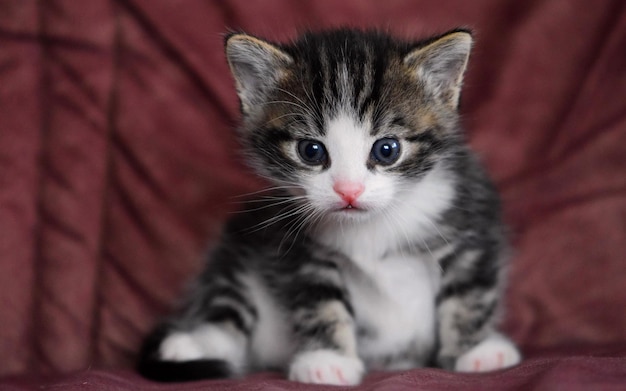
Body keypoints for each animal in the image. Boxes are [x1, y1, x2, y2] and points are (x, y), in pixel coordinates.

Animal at [138, 28, 520, 386]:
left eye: (387, 149)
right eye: (311, 151)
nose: (348, 191)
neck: (370, 227)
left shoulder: (470, 223)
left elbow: (469, 294)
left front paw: (475, 350)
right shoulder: (298, 249)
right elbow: (319, 301)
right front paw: (327, 360)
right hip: (235, 251)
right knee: (228, 314)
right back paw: (188, 345)